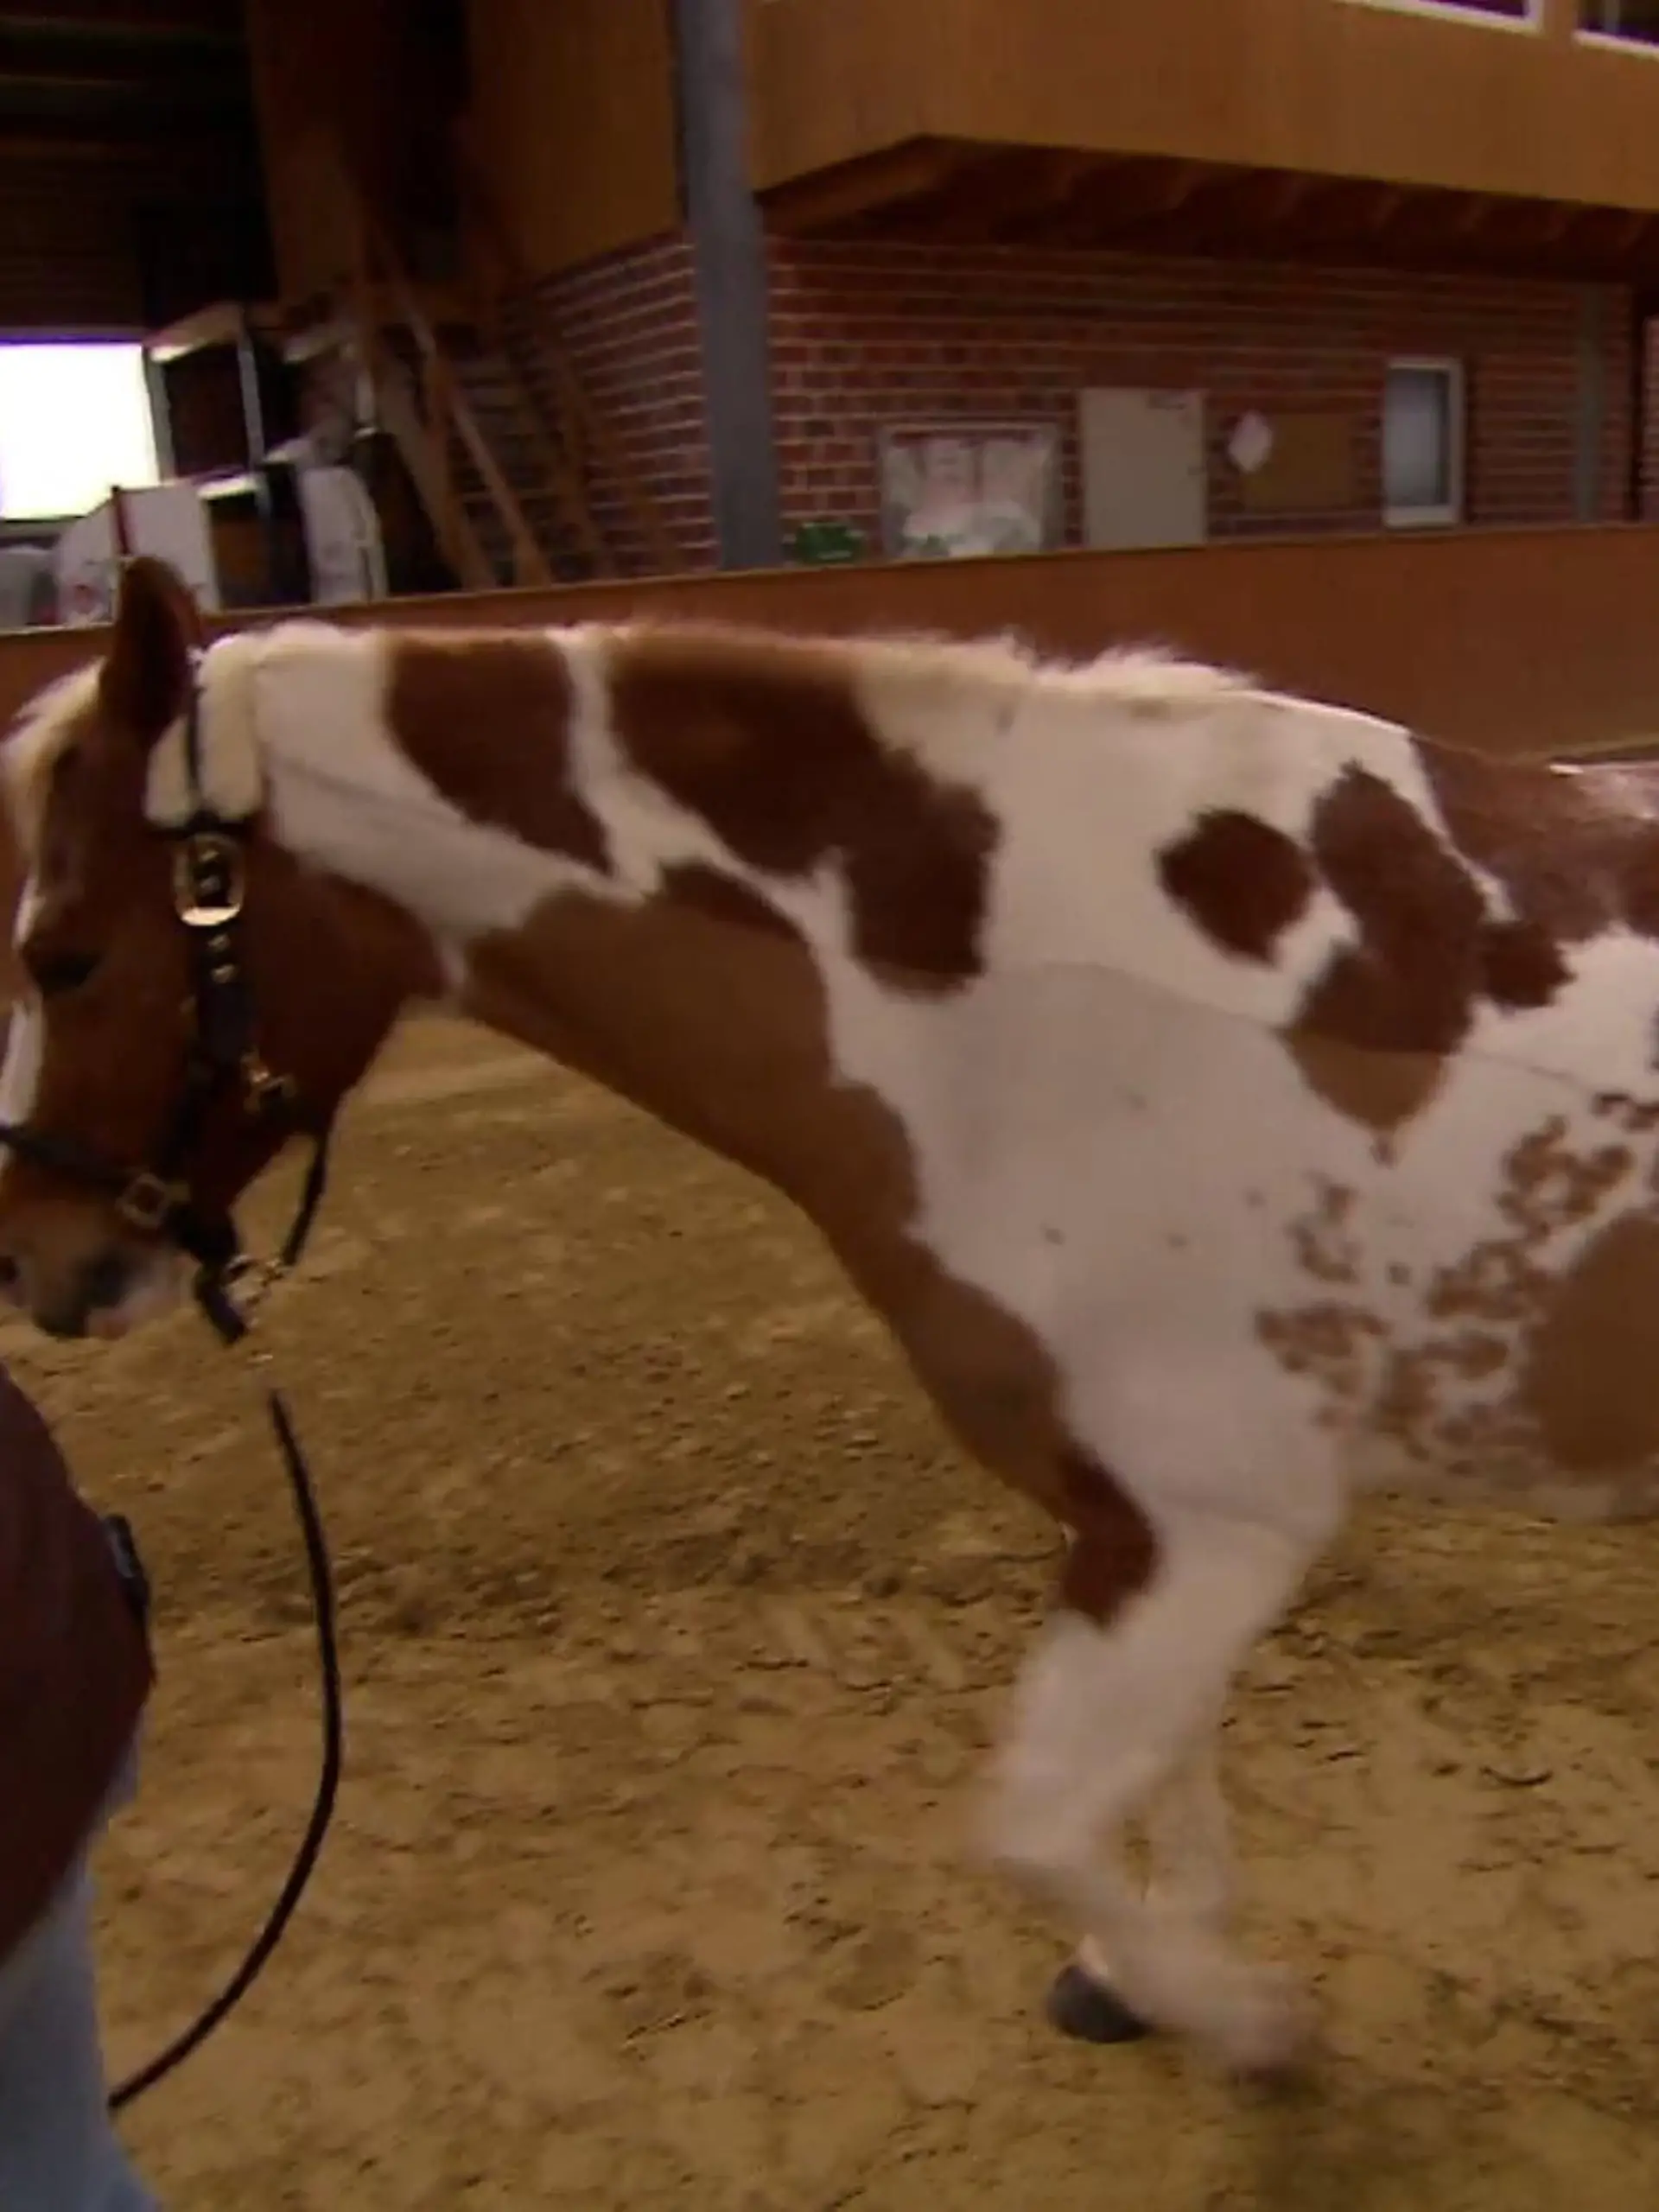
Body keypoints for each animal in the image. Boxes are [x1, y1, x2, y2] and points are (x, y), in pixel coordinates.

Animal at [1, 552, 1657, 2080]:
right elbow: (1154, 1774)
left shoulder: (1212, 1523)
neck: (1059, 1004)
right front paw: (1157, 1970)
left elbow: (1036, 1824)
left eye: (61, 957)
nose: (41, 1265)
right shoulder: (1141, 1525)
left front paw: (1239, 2017)